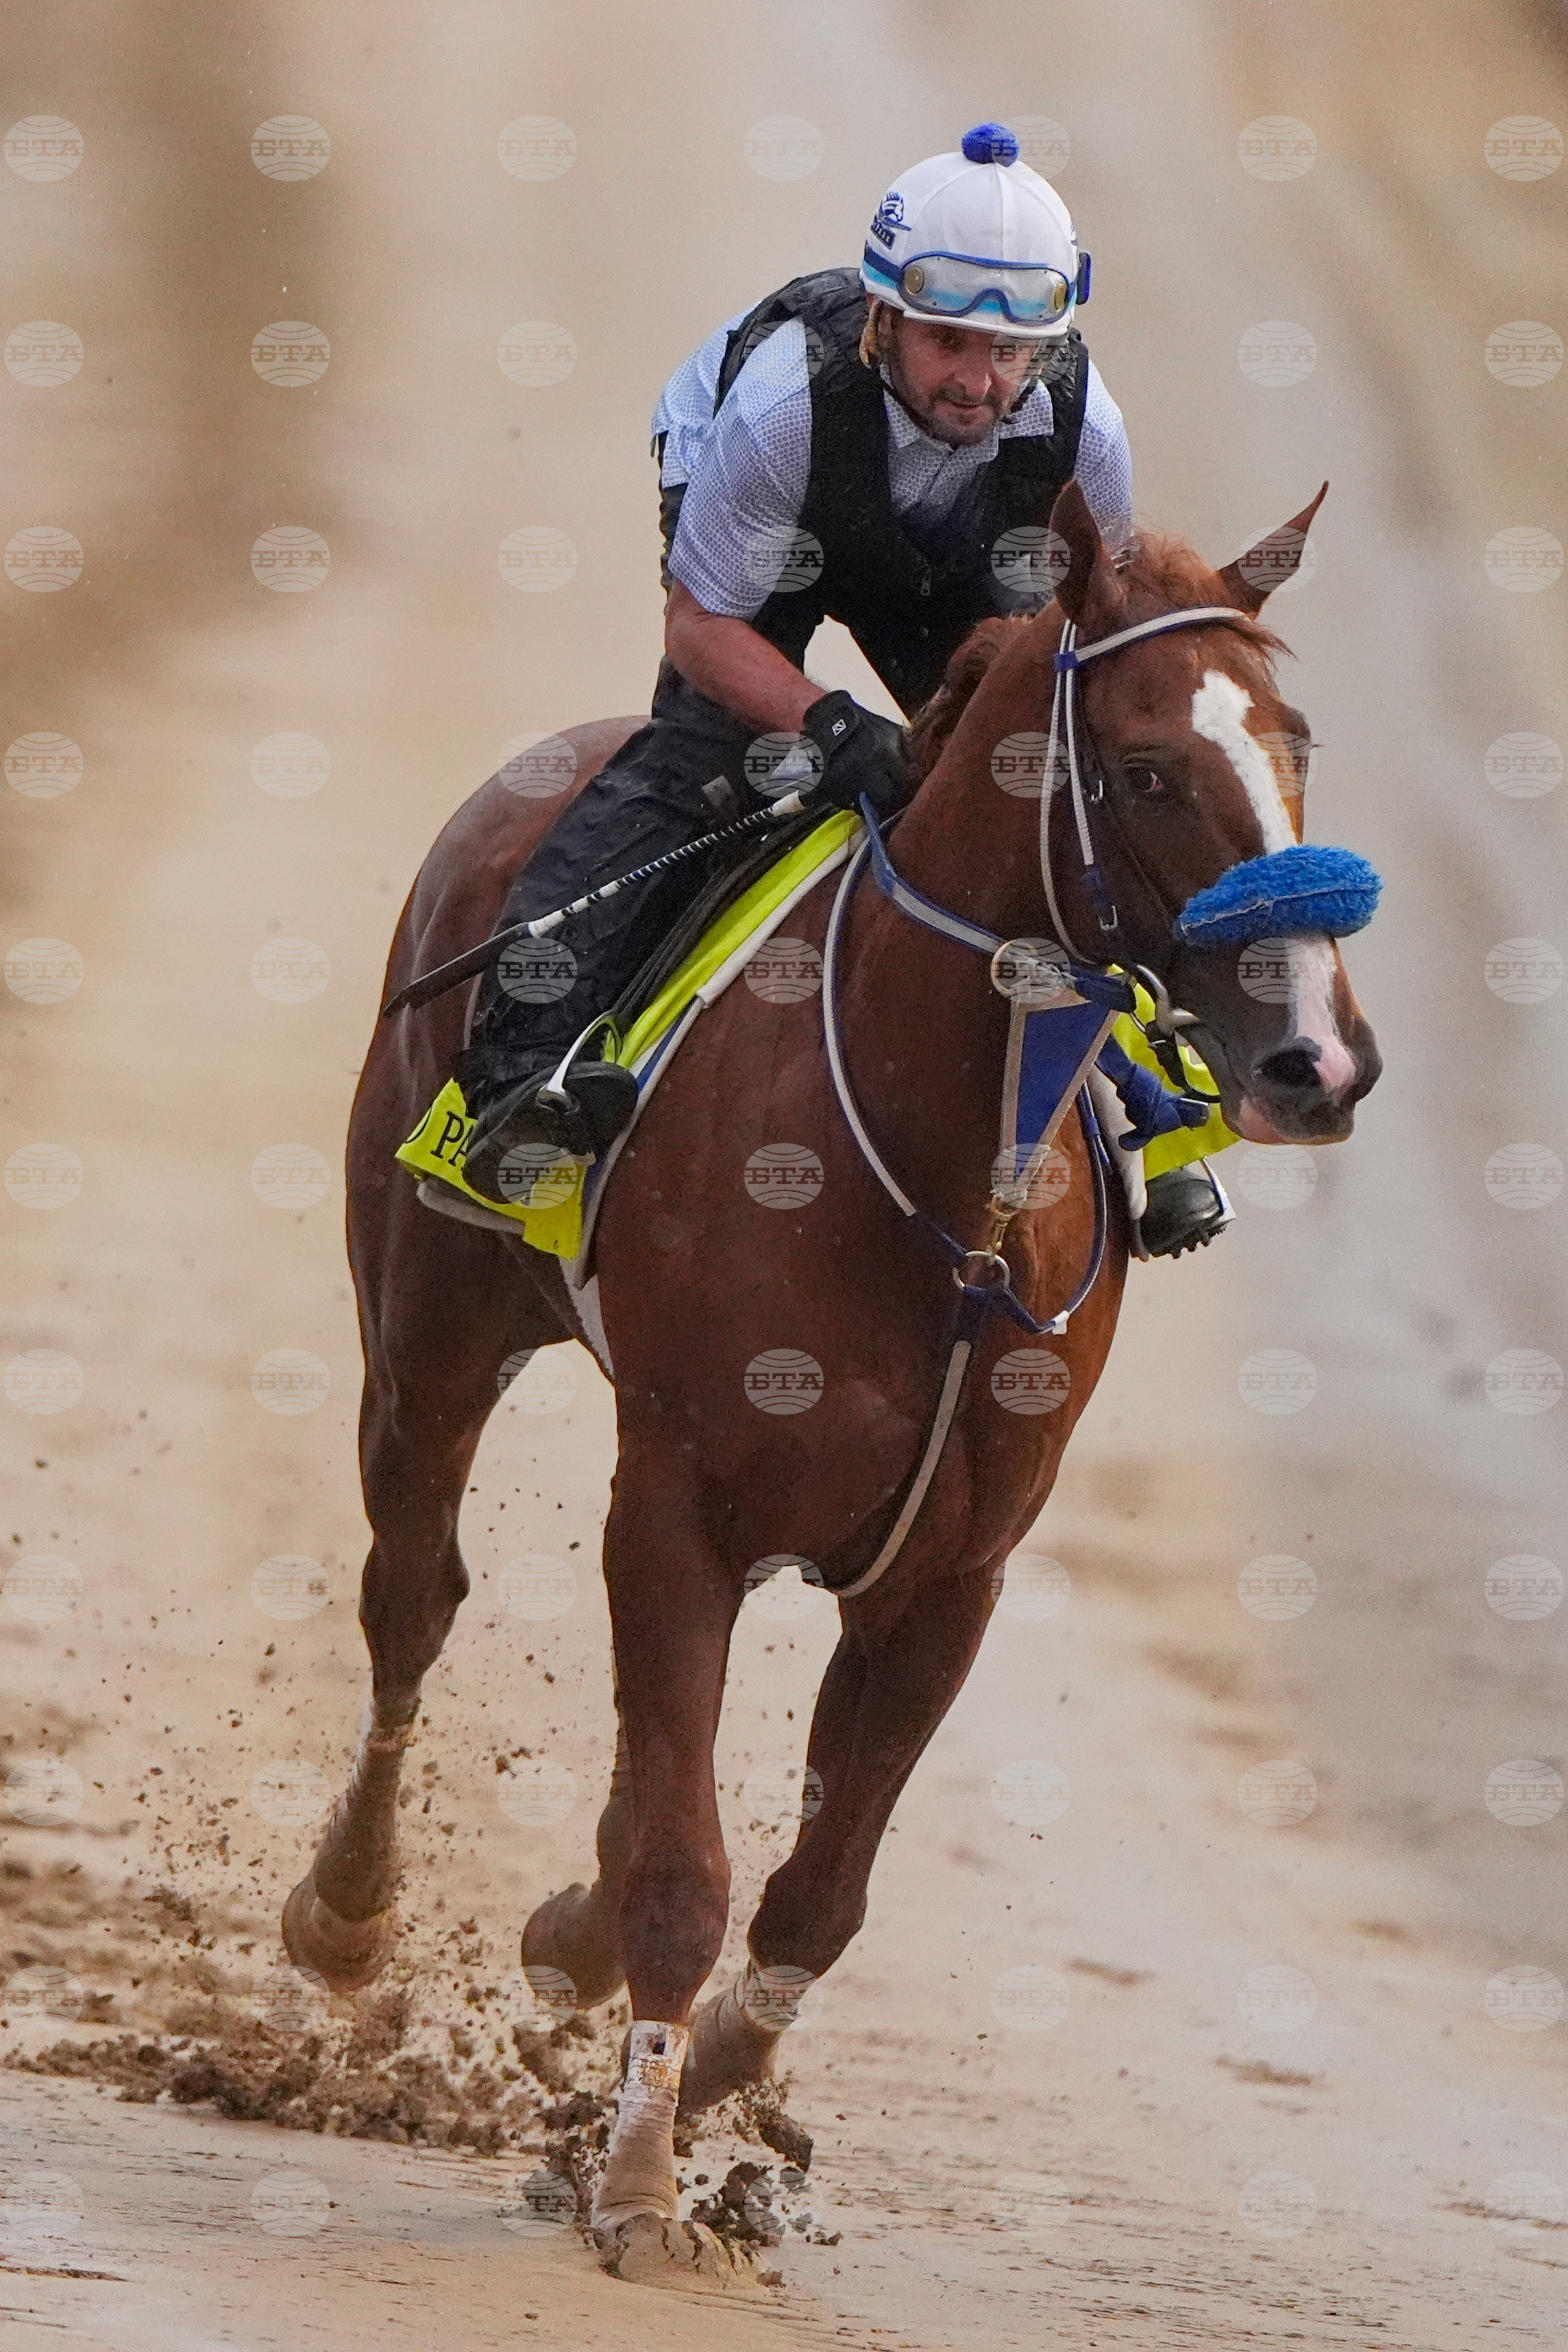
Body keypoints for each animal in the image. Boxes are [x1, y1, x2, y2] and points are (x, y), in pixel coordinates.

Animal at [282, 480, 1381, 2284]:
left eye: (1292, 745)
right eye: (1148, 766)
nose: (1318, 1060)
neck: (943, 1191)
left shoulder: (949, 1571)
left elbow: (814, 1894)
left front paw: (717, 2074)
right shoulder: (677, 1511)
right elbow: (683, 1868)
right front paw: (643, 2188)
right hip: (428, 1331)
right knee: (411, 1600)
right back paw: (346, 1912)